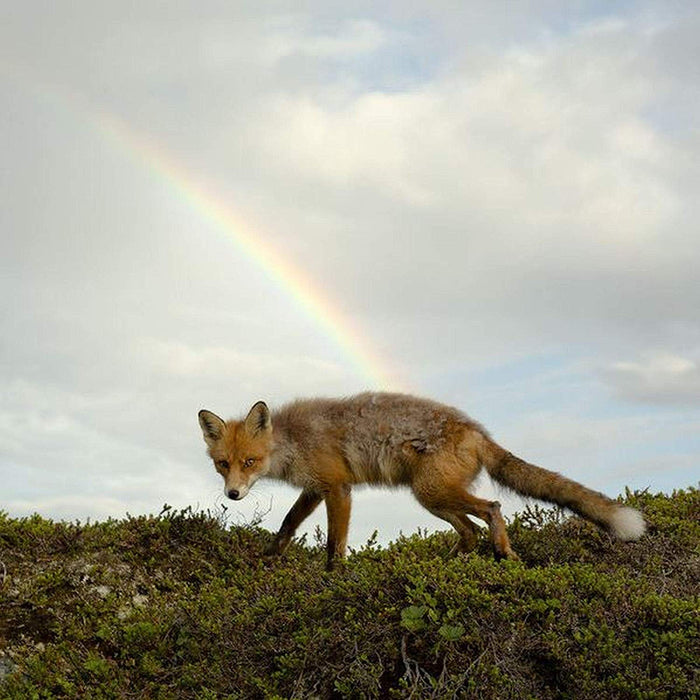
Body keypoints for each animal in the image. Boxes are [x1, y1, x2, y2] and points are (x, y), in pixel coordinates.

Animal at [197, 392, 644, 572]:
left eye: (250, 462)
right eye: (223, 464)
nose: (233, 494)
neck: (293, 443)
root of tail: (476, 430)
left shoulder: (338, 488)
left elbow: (334, 545)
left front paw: (333, 578)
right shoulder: (314, 489)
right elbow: (287, 526)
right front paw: (268, 559)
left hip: (431, 492)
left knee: (492, 509)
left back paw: (504, 552)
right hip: (434, 499)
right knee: (469, 532)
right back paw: (441, 566)